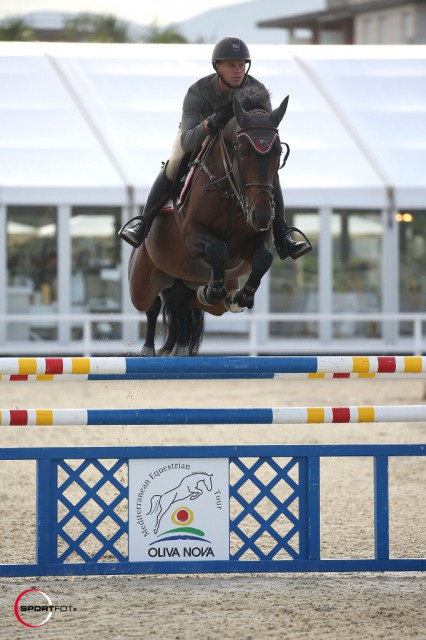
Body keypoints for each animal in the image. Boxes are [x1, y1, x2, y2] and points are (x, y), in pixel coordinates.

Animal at [128, 86, 292, 356]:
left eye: (278, 153)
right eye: (242, 152)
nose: (261, 216)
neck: (231, 192)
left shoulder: (258, 239)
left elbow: (263, 258)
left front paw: (241, 297)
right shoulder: (192, 236)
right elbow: (217, 249)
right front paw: (214, 289)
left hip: (192, 293)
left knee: (181, 303)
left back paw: (183, 345)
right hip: (142, 281)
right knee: (152, 306)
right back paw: (148, 349)